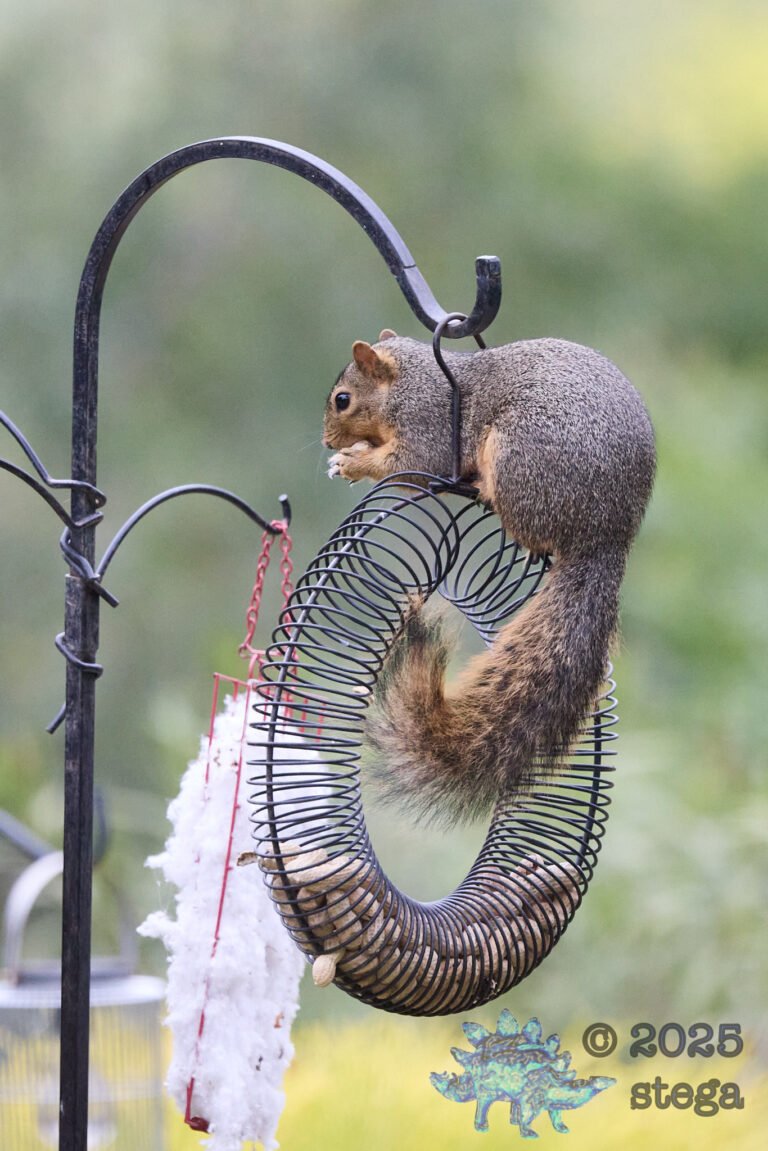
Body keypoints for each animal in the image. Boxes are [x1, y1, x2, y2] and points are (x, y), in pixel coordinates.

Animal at [322, 330, 656, 823]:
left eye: (342, 399)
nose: (328, 442)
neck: (414, 382)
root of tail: (606, 536)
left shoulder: (429, 426)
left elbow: (411, 462)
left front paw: (353, 463)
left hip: (517, 459)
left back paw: (482, 490)